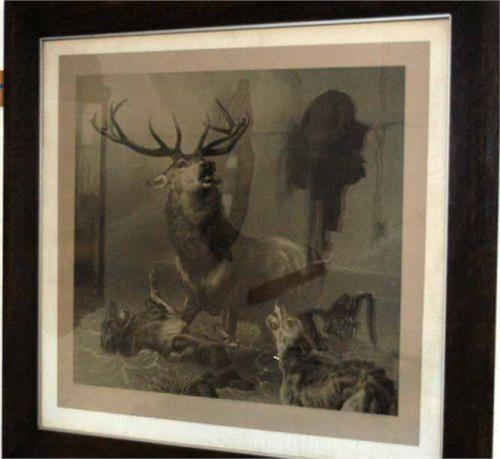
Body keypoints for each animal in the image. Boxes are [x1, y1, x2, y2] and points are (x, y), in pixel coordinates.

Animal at [92, 99, 325, 346]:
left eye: (202, 159)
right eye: (181, 163)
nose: (208, 165)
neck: (197, 260)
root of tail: (318, 258)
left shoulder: (232, 300)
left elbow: (225, 334)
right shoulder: (192, 298)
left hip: (302, 304)